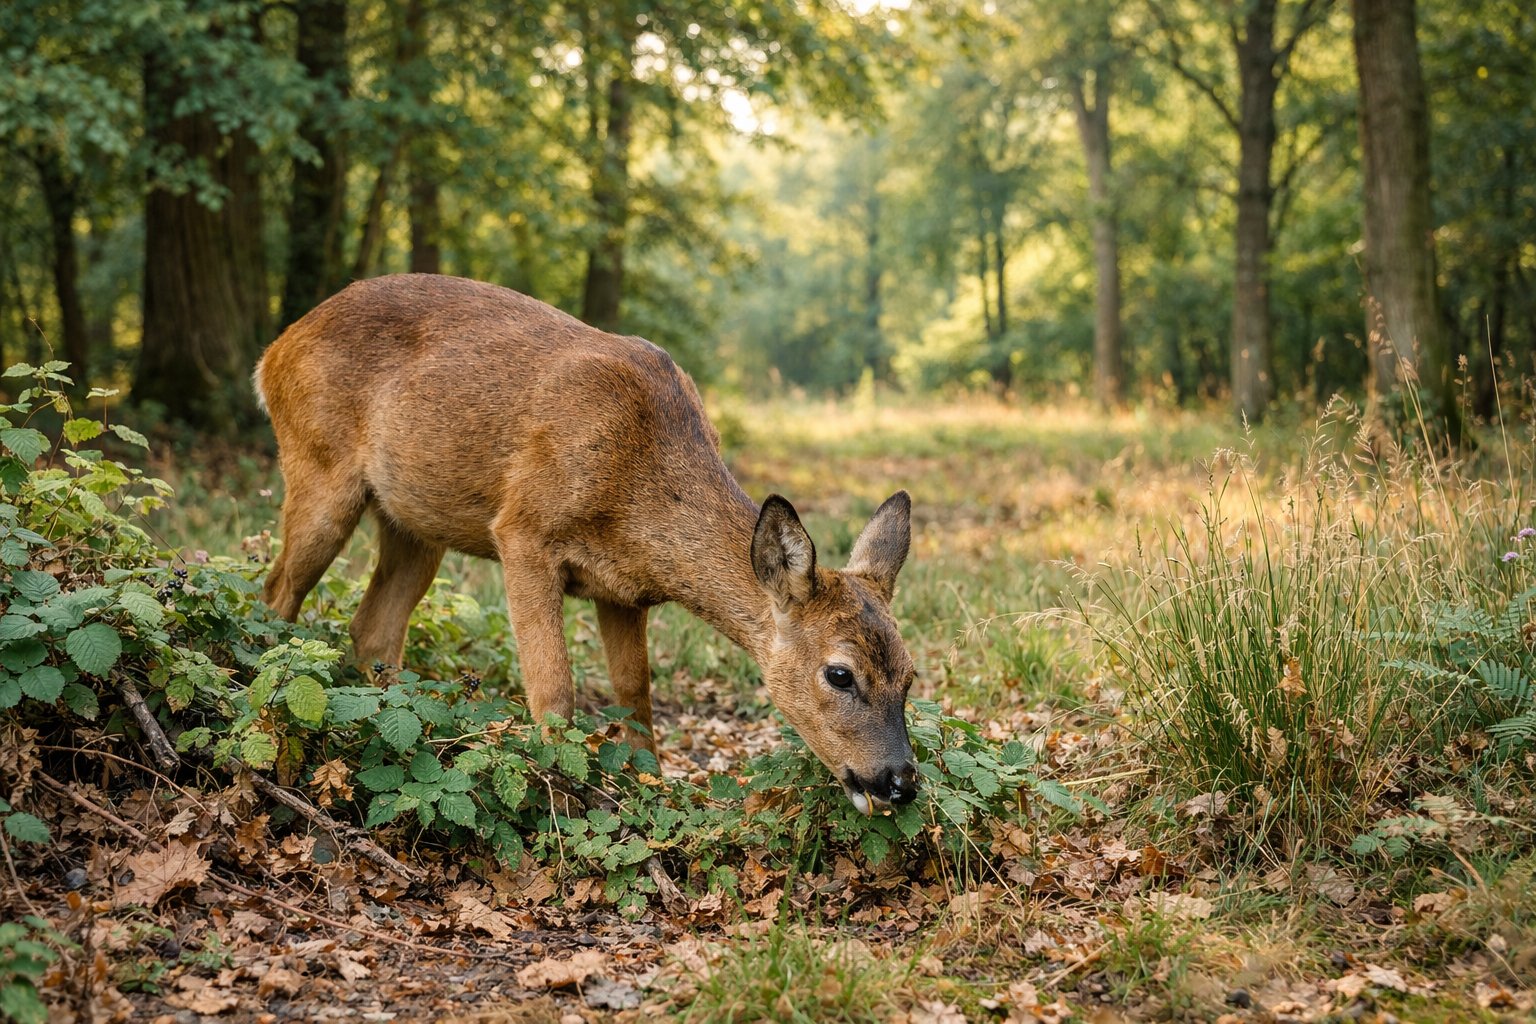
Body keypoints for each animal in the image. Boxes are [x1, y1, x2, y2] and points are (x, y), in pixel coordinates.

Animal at [254, 274, 920, 811]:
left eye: (911, 676)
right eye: (839, 674)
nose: (899, 781)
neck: (637, 488)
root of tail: (274, 350)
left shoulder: (623, 590)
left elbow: (635, 694)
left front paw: (651, 788)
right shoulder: (522, 531)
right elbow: (554, 688)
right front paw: (559, 797)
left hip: (415, 524)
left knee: (373, 627)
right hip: (318, 466)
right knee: (277, 591)